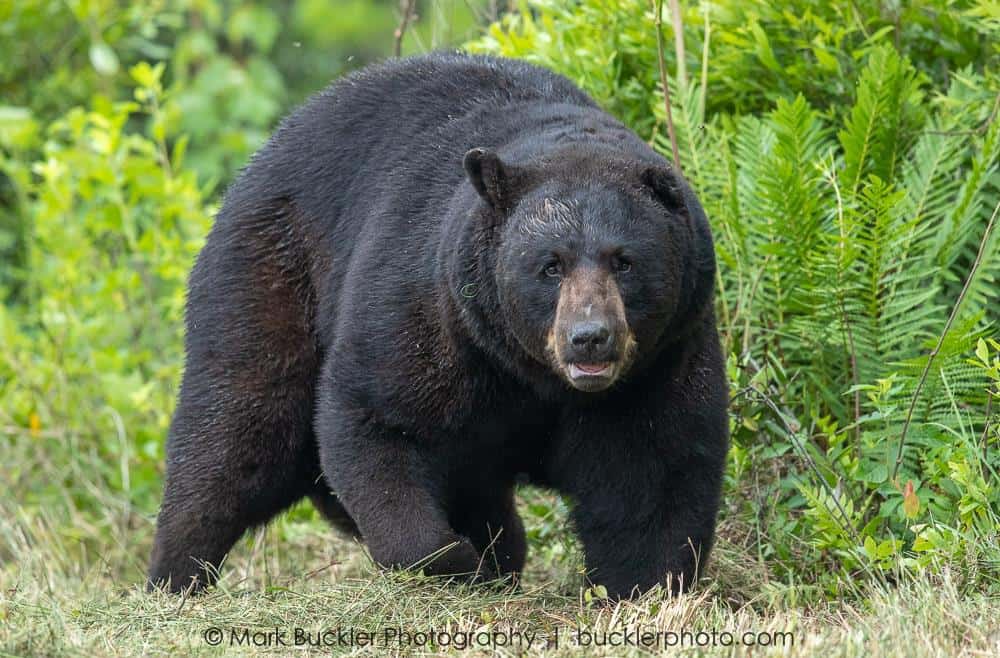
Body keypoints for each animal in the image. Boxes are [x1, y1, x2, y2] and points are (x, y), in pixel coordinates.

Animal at [147, 52, 729, 599]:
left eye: (623, 261)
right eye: (550, 264)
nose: (589, 337)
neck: (527, 372)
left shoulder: (660, 359)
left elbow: (653, 472)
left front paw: (642, 585)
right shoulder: (431, 314)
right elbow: (379, 420)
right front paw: (454, 560)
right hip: (272, 274)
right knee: (240, 425)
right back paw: (175, 575)